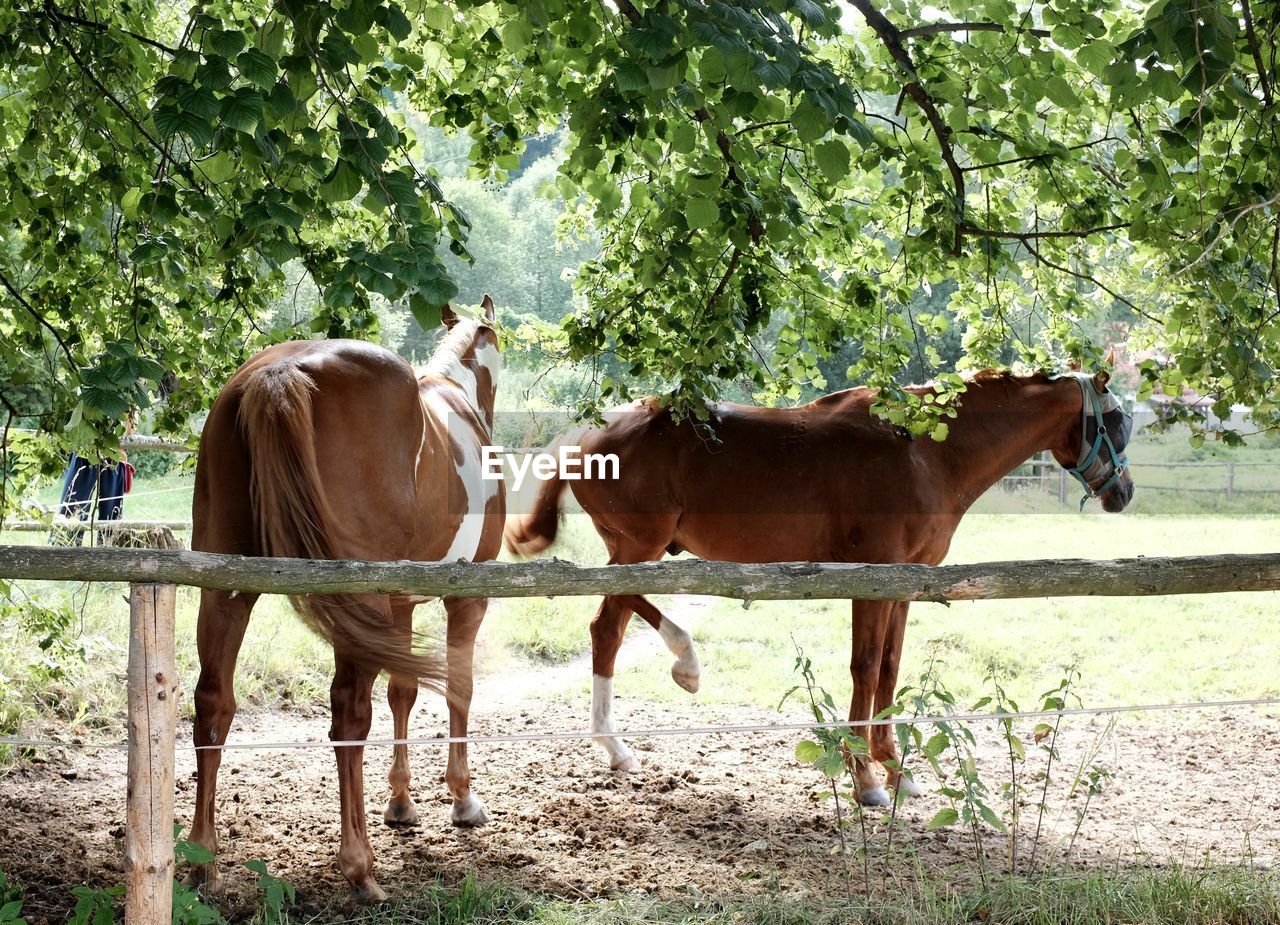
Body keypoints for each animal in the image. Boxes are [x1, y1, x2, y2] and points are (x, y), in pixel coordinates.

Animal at [186, 300, 501, 900]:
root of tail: (277, 373)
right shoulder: (465, 598)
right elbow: (458, 687)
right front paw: (462, 799)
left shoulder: (401, 604)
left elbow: (404, 693)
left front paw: (401, 803)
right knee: (349, 717)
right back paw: (359, 867)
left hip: (228, 591)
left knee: (213, 704)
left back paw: (203, 862)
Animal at [504, 368, 1136, 803]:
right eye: (1118, 421)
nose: (1123, 493)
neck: (926, 450)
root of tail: (591, 431)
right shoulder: (872, 579)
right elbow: (866, 669)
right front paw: (867, 778)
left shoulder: (905, 585)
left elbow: (890, 669)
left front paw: (895, 769)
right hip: (639, 548)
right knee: (608, 621)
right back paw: (676, 673)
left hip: (635, 551)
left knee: (608, 627)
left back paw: (623, 740)